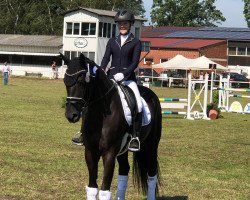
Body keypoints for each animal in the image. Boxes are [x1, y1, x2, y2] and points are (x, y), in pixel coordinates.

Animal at [60, 53, 162, 200]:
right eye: (65, 81)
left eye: (81, 81)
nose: (71, 115)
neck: (100, 113)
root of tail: (151, 94)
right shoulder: (90, 151)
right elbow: (92, 188)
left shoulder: (109, 153)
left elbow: (104, 191)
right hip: (123, 149)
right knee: (124, 170)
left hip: (151, 146)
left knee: (152, 173)